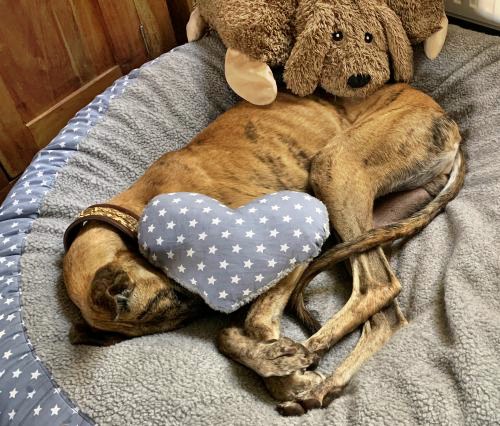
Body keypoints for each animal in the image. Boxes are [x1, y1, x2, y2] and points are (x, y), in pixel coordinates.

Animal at [63, 84, 464, 415]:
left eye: (171, 299)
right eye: (172, 313)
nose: (215, 307)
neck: (138, 213)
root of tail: (448, 121)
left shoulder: (293, 248)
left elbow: (252, 324)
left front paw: (284, 371)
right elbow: (230, 335)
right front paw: (282, 371)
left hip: (334, 168)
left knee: (378, 286)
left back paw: (315, 359)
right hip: (358, 226)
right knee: (386, 315)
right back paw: (327, 383)